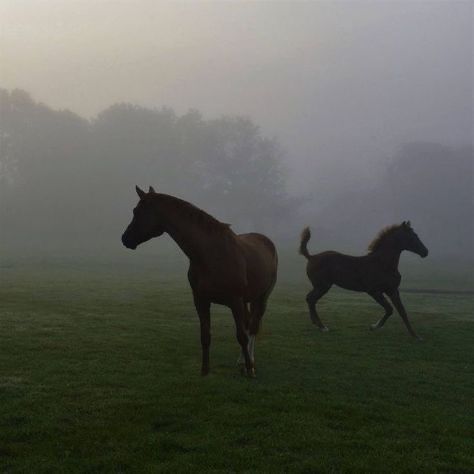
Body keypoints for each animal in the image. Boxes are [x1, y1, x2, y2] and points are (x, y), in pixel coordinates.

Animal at [121, 187, 278, 376]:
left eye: (136, 211)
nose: (125, 239)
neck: (210, 255)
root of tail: (266, 241)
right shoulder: (201, 300)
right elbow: (205, 336)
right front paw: (205, 371)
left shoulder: (235, 301)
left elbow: (241, 336)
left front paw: (250, 369)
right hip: (246, 301)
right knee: (248, 325)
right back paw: (241, 362)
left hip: (262, 297)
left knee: (252, 328)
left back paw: (250, 364)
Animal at [300, 223, 430, 340]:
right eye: (413, 236)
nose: (425, 252)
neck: (383, 264)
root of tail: (311, 257)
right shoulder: (373, 291)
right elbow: (389, 309)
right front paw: (375, 326)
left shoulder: (392, 290)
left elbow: (402, 311)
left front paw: (416, 336)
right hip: (322, 286)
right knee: (310, 299)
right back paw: (322, 327)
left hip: (321, 286)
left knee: (310, 299)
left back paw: (318, 325)